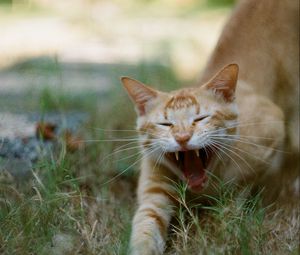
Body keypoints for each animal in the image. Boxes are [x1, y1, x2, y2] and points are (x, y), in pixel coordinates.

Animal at [120, 0, 298, 254]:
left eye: (201, 118)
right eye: (165, 123)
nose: (182, 137)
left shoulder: (271, 129)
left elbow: (237, 192)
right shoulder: (153, 192)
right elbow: (145, 226)